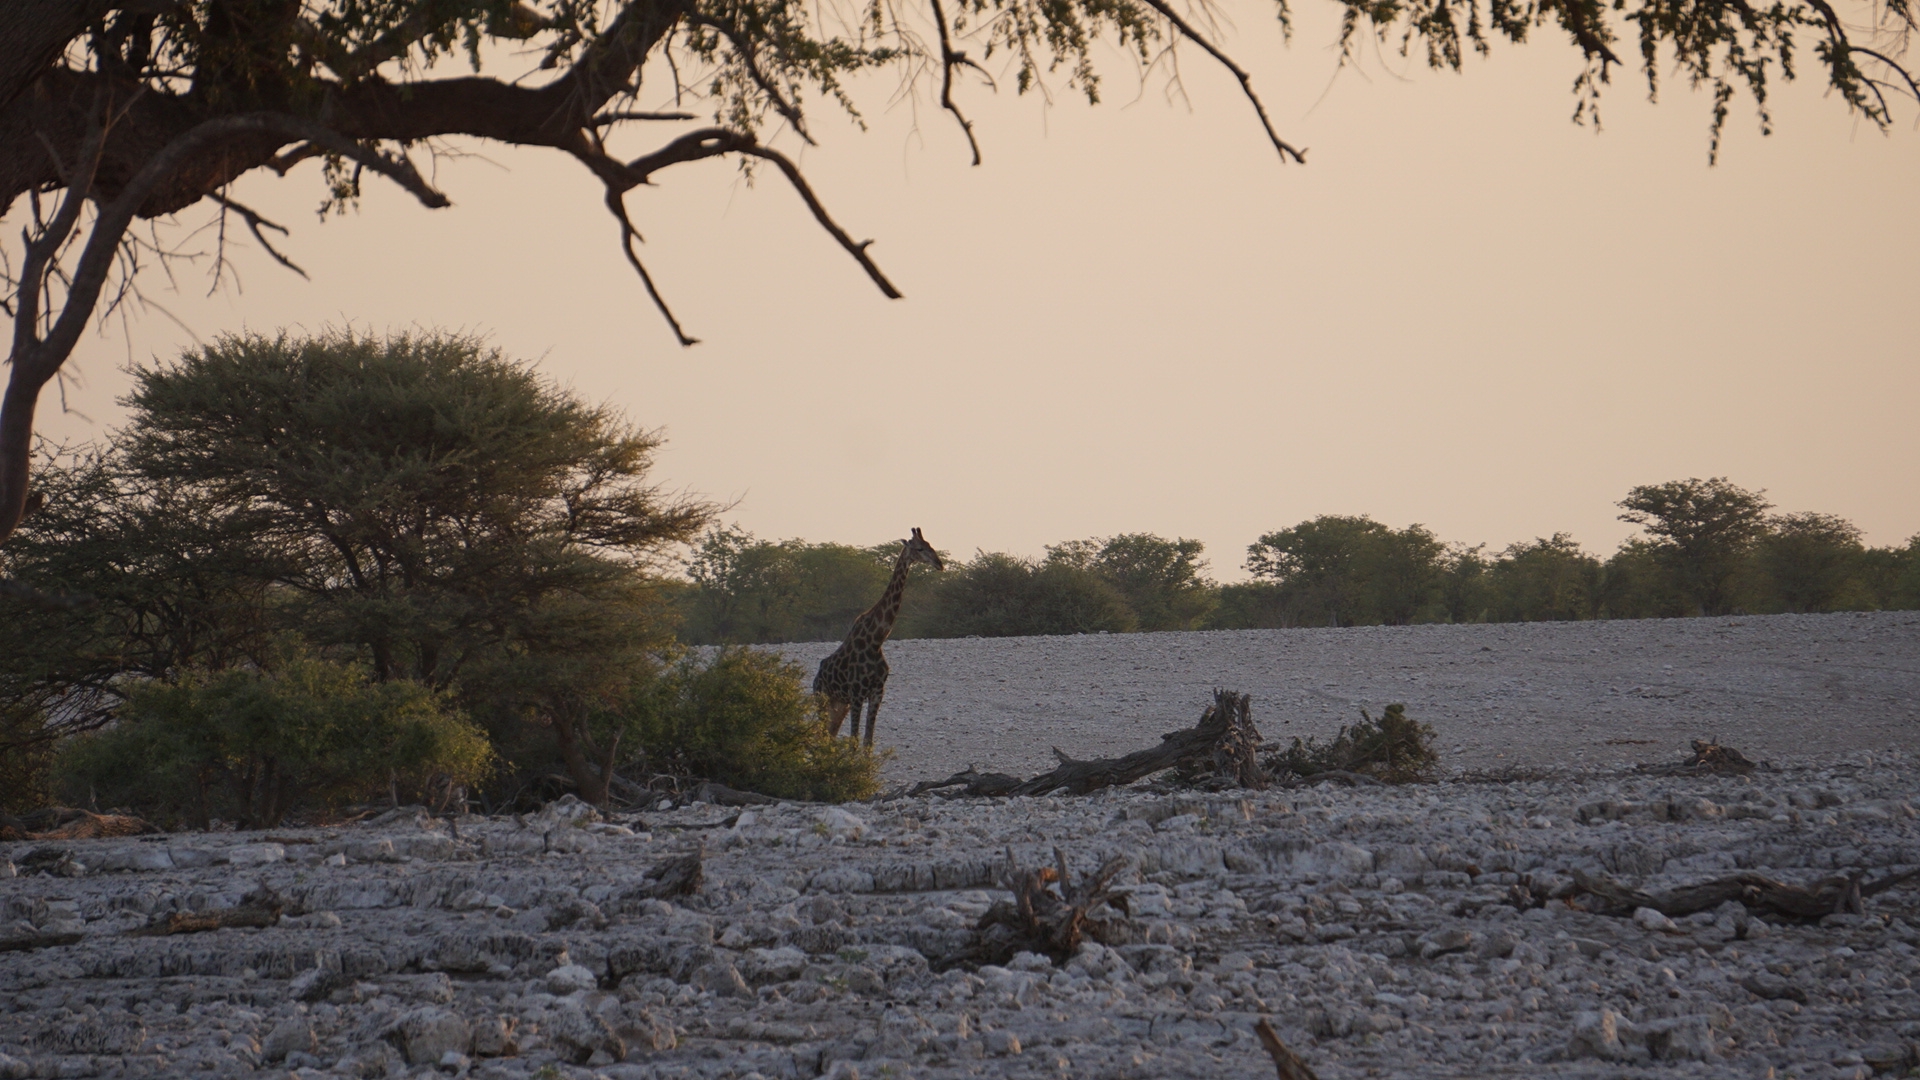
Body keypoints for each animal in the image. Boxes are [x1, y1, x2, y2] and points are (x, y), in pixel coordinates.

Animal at [810, 526, 944, 745]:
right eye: (919, 548)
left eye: (930, 545)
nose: (939, 564)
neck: (876, 639)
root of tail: (816, 678)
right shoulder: (857, 693)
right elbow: (855, 739)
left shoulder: (877, 693)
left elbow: (867, 742)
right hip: (822, 698)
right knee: (822, 737)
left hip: (839, 704)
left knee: (830, 735)